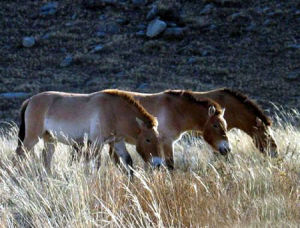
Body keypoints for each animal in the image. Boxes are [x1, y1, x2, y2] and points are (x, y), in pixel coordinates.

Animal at [15, 89, 163, 173]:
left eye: (158, 139)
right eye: (148, 139)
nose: (158, 164)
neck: (114, 110)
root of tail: (30, 100)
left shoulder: (117, 142)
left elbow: (128, 161)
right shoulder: (97, 143)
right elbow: (96, 165)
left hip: (50, 139)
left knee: (46, 158)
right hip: (32, 138)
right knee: (19, 155)